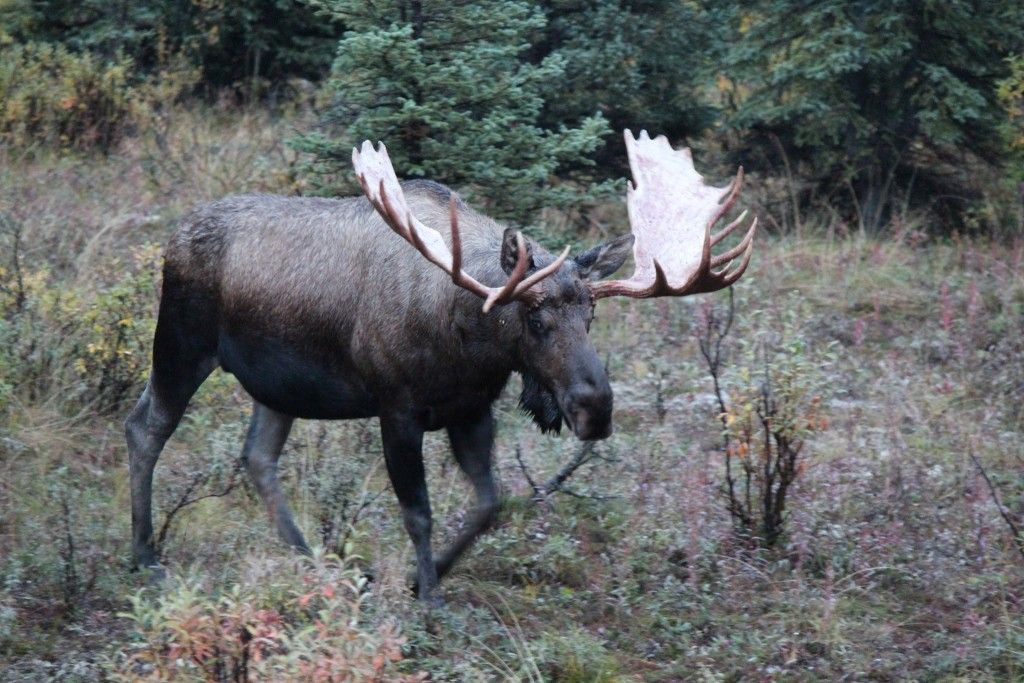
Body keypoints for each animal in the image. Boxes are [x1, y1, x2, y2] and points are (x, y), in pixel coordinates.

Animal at [123, 129, 757, 602]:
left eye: (592, 314)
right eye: (535, 317)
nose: (595, 407)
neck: (468, 342)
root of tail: (172, 237)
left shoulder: (472, 410)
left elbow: (488, 504)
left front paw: (417, 578)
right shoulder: (397, 408)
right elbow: (419, 513)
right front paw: (428, 597)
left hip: (278, 386)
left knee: (257, 457)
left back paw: (313, 562)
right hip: (181, 343)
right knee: (145, 427)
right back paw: (145, 556)